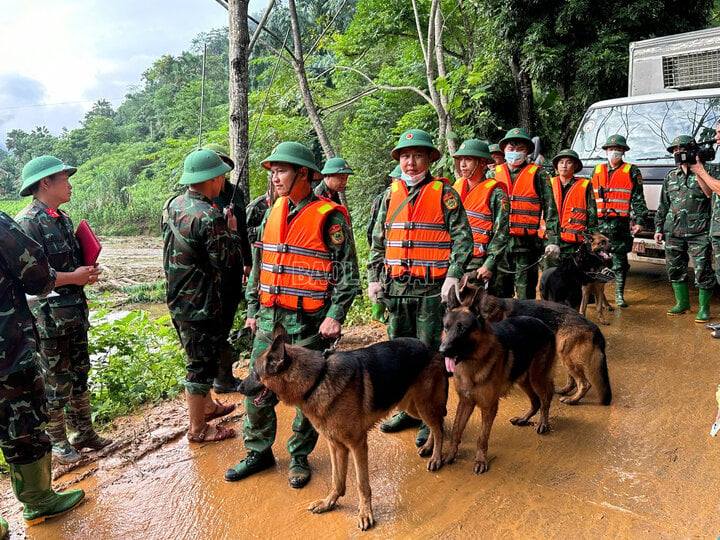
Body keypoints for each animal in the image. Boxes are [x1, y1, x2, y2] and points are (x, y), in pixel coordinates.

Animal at [239, 324, 448, 532]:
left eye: (255, 373)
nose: (239, 387)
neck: (317, 380)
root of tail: (429, 347)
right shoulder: (336, 445)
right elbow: (337, 479)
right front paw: (329, 503)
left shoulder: (357, 444)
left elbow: (362, 484)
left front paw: (365, 513)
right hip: (410, 406)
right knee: (436, 424)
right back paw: (428, 446)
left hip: (423, 405)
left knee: (438, 427)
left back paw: (436, 457)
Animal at [438, 292, 556, 476]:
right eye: (446, 327)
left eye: (462, 329)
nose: (442, 351)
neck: (472, 365)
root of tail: (543, 324)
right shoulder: (465, 402)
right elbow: (457, 429)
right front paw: (451, 454)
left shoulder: (489, 407)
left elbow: (482, 437)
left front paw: (480, 460)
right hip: (523, 379)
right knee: (536, 401)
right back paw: (524, 419)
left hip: (536, 378)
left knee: (545, 398)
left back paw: (543, 423)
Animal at [458, 278, 612, 404]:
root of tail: (593, 326)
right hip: (565, 356)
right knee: (574, 380)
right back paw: (565, 391)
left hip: (566, 355)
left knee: (584, 384)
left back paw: (573, 400)